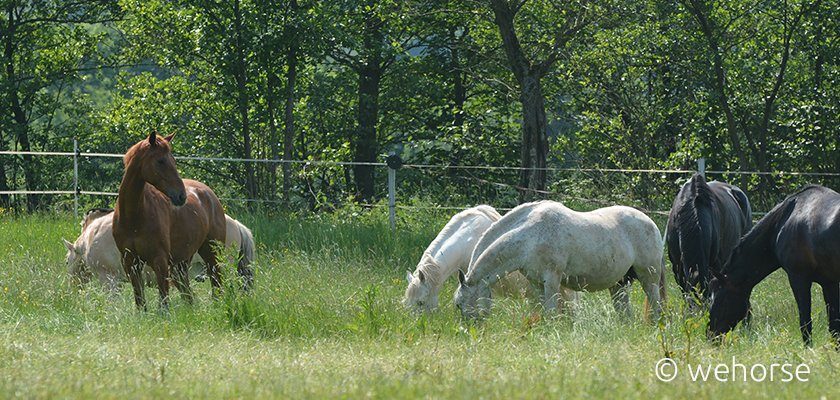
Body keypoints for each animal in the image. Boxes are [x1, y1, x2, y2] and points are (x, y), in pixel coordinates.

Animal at [114, 131, 230, 310]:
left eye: (173, 161)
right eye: (160, 161)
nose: (181, 196)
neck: (133, 218)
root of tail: (209, 193)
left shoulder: (160, 260)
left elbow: (163, 301)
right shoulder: (130, 262)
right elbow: (140, 300)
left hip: (211, 251)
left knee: (215, 280)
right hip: (182, 262)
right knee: (188, 292)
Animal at [456, 202, 668, 320]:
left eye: (459, 304)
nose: (470, 330)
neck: (530, 235)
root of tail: (650, 223)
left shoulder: (551, 280)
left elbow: (551, 312)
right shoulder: (536, 284)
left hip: (648, 278)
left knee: (655, 304)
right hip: (619, 284)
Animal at [708, 186, 840, 346]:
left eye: (720, 300)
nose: (711, 335)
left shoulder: (799, 279)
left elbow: (805, 324)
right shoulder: (829, 283)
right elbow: (834, 327)